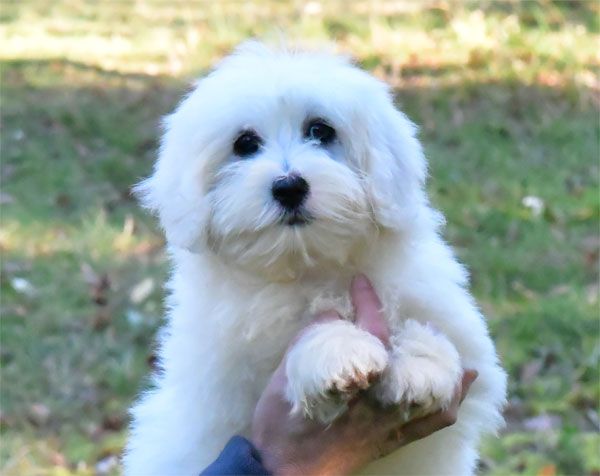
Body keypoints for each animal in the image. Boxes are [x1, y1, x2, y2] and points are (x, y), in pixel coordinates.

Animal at [124, 41, 508, 476]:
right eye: (245, 144)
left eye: (321, 131)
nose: (289, 186)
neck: (310, 263)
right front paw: (338, 353)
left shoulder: (467, 349)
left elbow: (439, 335)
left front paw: (422, 366)